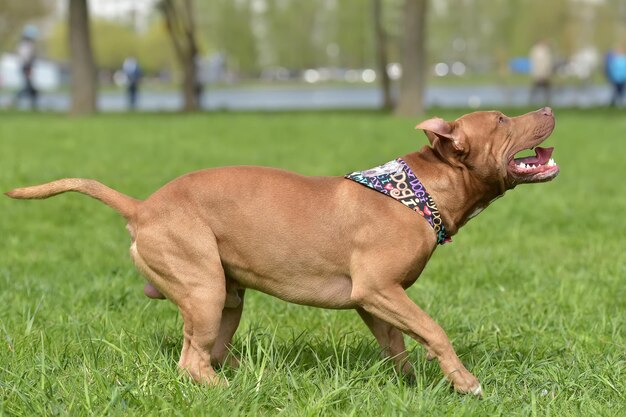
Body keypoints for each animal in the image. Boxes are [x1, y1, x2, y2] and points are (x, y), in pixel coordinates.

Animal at [4, 106, 560, 394]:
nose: (550, 108)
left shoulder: (375, 301)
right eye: (503, 119)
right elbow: (435, 330)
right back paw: (229, 392)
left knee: (208, 350)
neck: (422, 189)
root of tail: (142, 206)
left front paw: (410, 383)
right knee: (190, 362)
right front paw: (465, 382)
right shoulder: (379, 289)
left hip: (225, 297)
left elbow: (399, 344)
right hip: (203, 287)